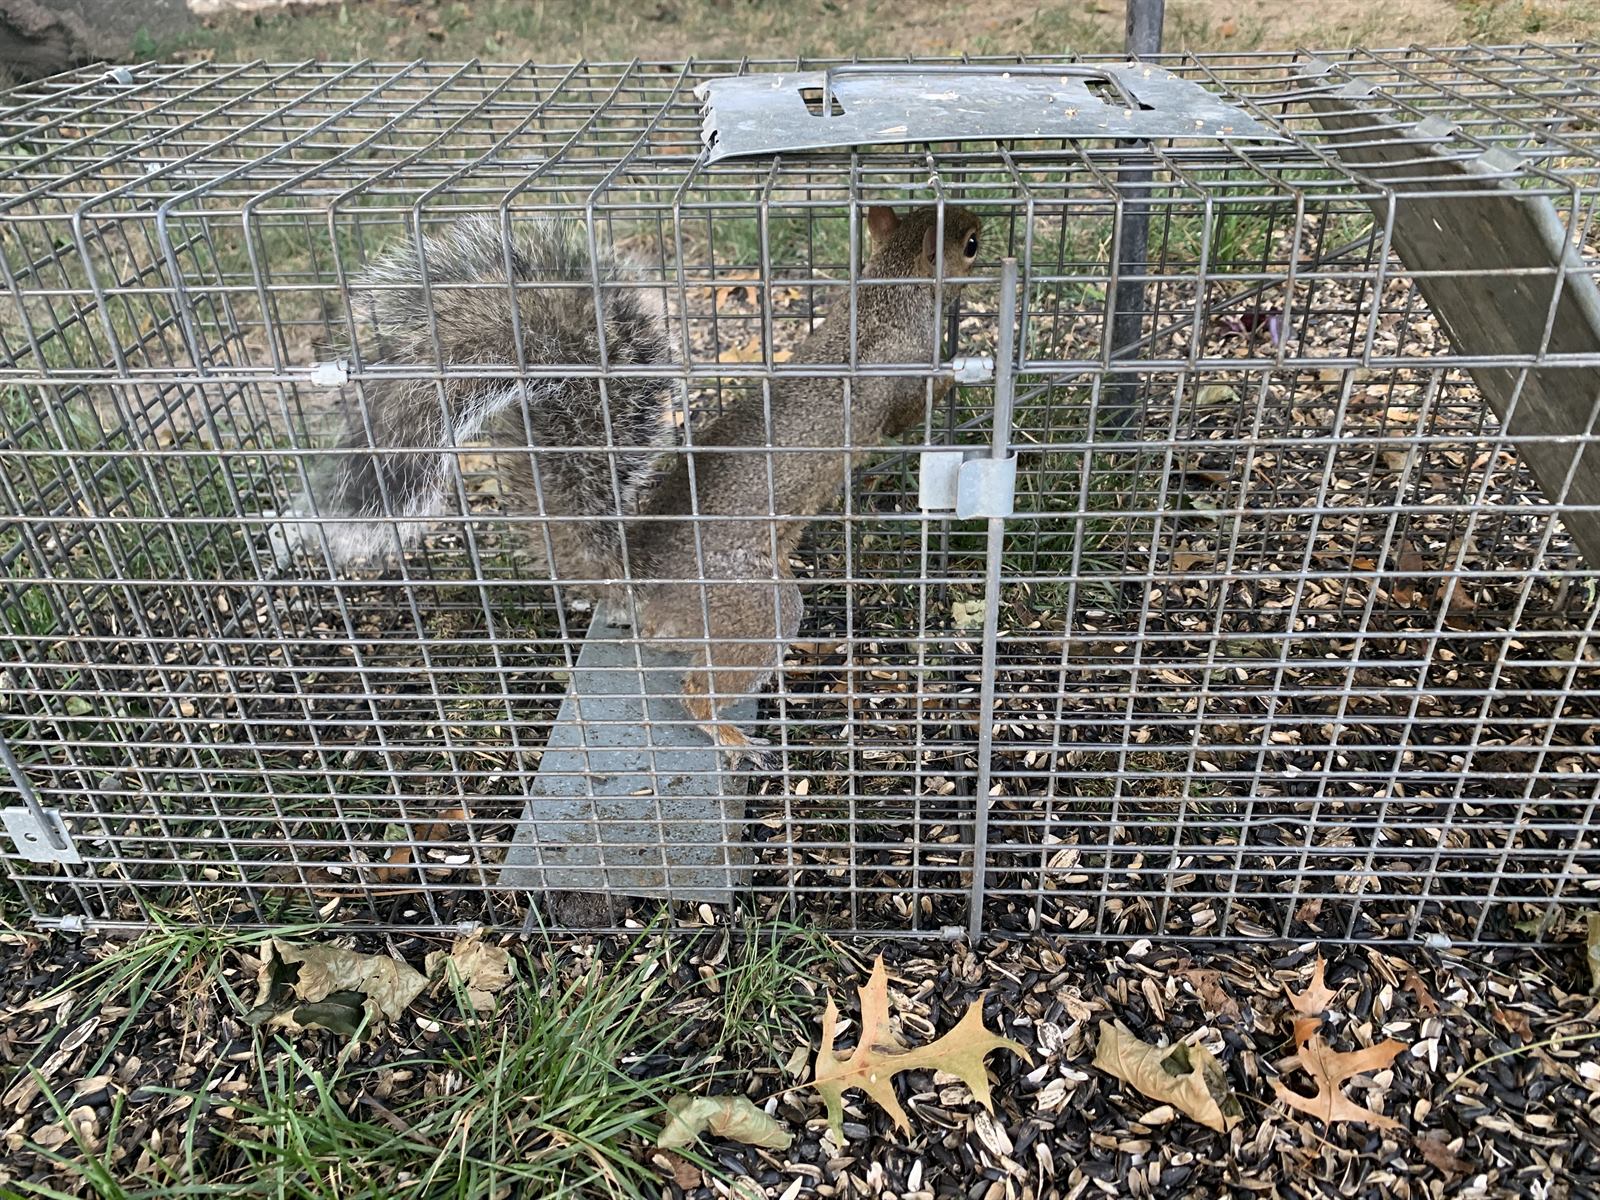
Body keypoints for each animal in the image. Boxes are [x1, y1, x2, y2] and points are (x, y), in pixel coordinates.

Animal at [278, 204, 983, 764]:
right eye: (970, 243)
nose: (990, 231)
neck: (884, 294)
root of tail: (637, 580)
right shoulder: (897, 382)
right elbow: (910, 409)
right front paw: (968, 371)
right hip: (754, 604)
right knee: (699, 688)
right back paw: (731, 737)